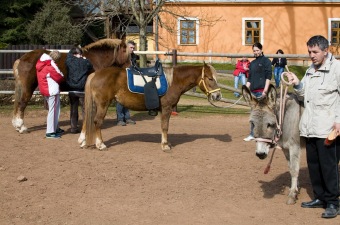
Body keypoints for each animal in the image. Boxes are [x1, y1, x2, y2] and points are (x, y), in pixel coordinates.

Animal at [77, 62, 222, 151]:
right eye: (210, 78)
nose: (218, 96)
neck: (173, 81)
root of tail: (95, 74)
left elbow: (164, 127)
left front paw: (166, 143)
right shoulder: (166, 108)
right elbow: (165, 127)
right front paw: (165, 145)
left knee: (87, 120)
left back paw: (83, 141)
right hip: (103, 104)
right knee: (97, 121)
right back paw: (100, 144)